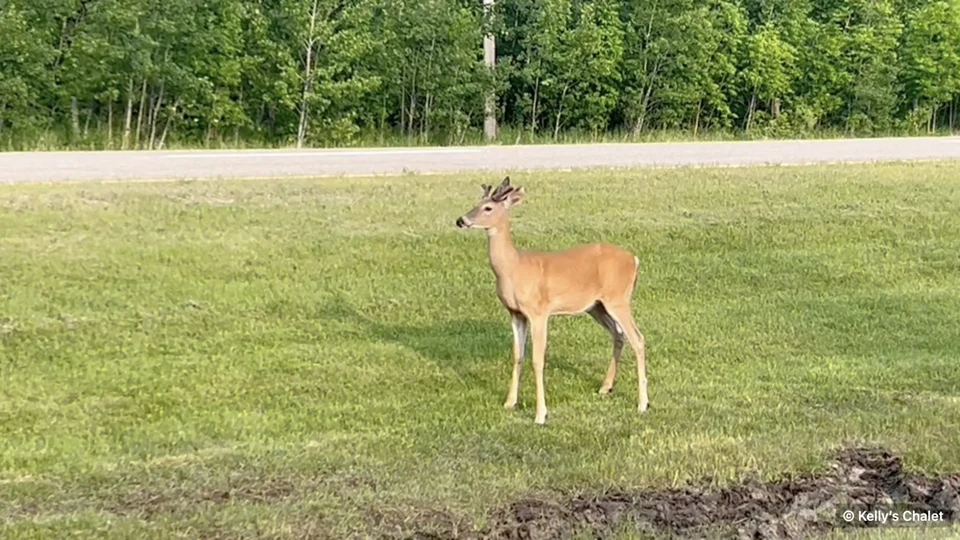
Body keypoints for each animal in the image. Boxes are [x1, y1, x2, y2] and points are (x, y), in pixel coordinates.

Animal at [455, 176, 648, 425]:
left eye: (488, 207)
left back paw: (642, 404)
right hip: (596, 306)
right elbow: (518, 356)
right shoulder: (515, 313)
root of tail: (634, 259)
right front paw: (509, 403)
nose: (461, 220)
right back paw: (605, 388)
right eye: (477, 202)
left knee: (638, 338)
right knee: (619, 334)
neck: (514, 268)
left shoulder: (539, 311)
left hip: (618, 298)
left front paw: (540, 414)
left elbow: (537, 360)